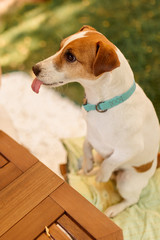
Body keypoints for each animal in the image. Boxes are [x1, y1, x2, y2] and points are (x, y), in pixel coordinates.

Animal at [31, 25, 160, 218]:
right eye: (60, 47)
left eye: (70, 57)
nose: (34, 68)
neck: (104, 104)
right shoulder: (91, 133)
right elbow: (86, 145)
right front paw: (87, 164)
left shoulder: (131, 148)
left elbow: (110, 162)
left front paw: (102, 175)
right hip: (102, 156)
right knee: (98, 160)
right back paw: (86, 170)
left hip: (127, 181)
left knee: (132, 199)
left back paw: (113, 206)